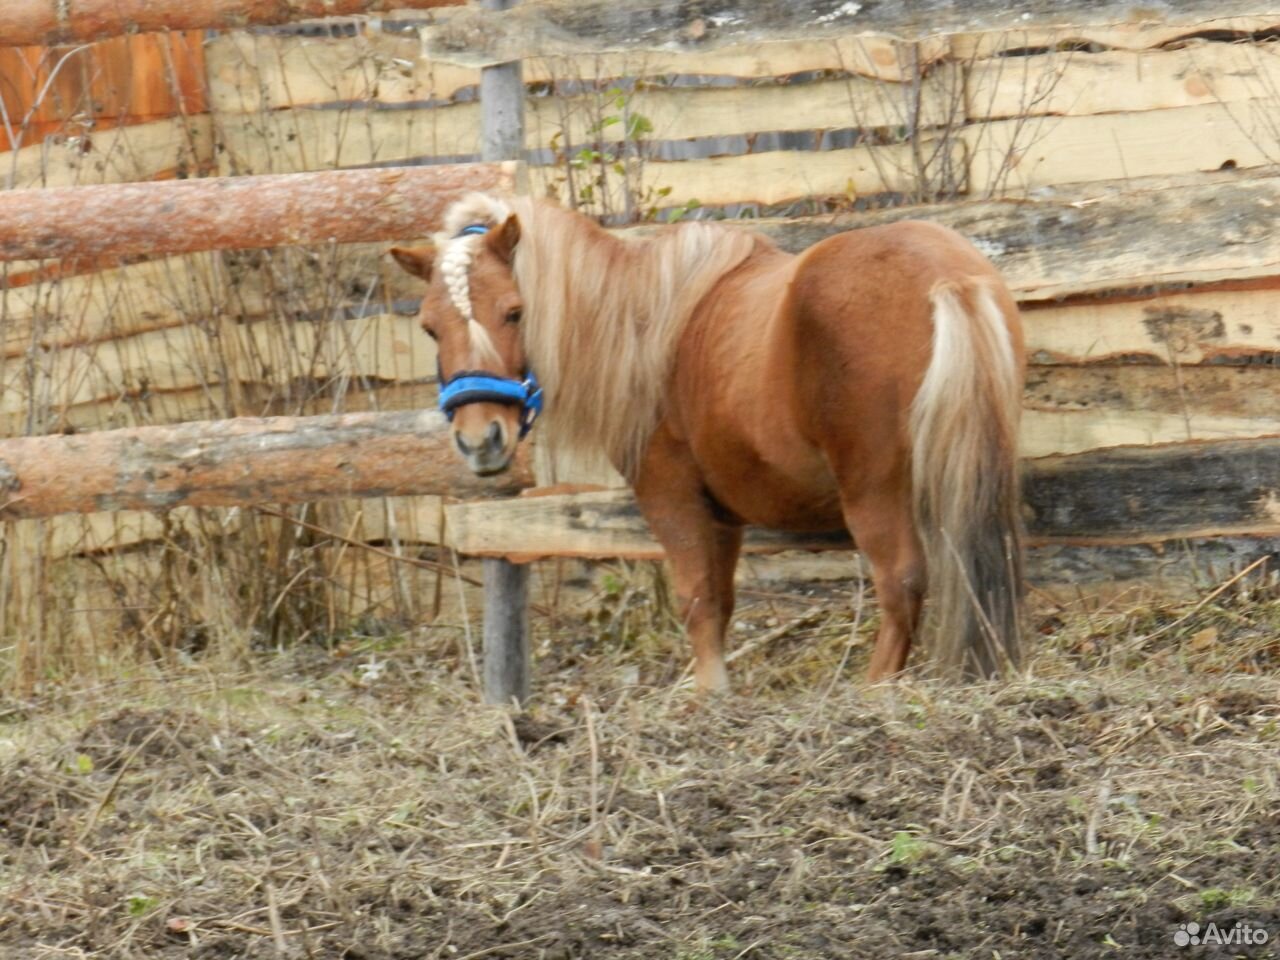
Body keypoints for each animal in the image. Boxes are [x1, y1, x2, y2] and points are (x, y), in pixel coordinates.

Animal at [394, 193, 1024, 691]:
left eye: (514, 312)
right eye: (429, 327)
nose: (479, 440)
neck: (642, 325)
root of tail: (948, 277)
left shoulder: (671, 497)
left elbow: (696, 599)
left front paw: (709, 696)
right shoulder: (722, 517)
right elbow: (720, 603)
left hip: (874, 493)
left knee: (902, 583)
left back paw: (874, 690)